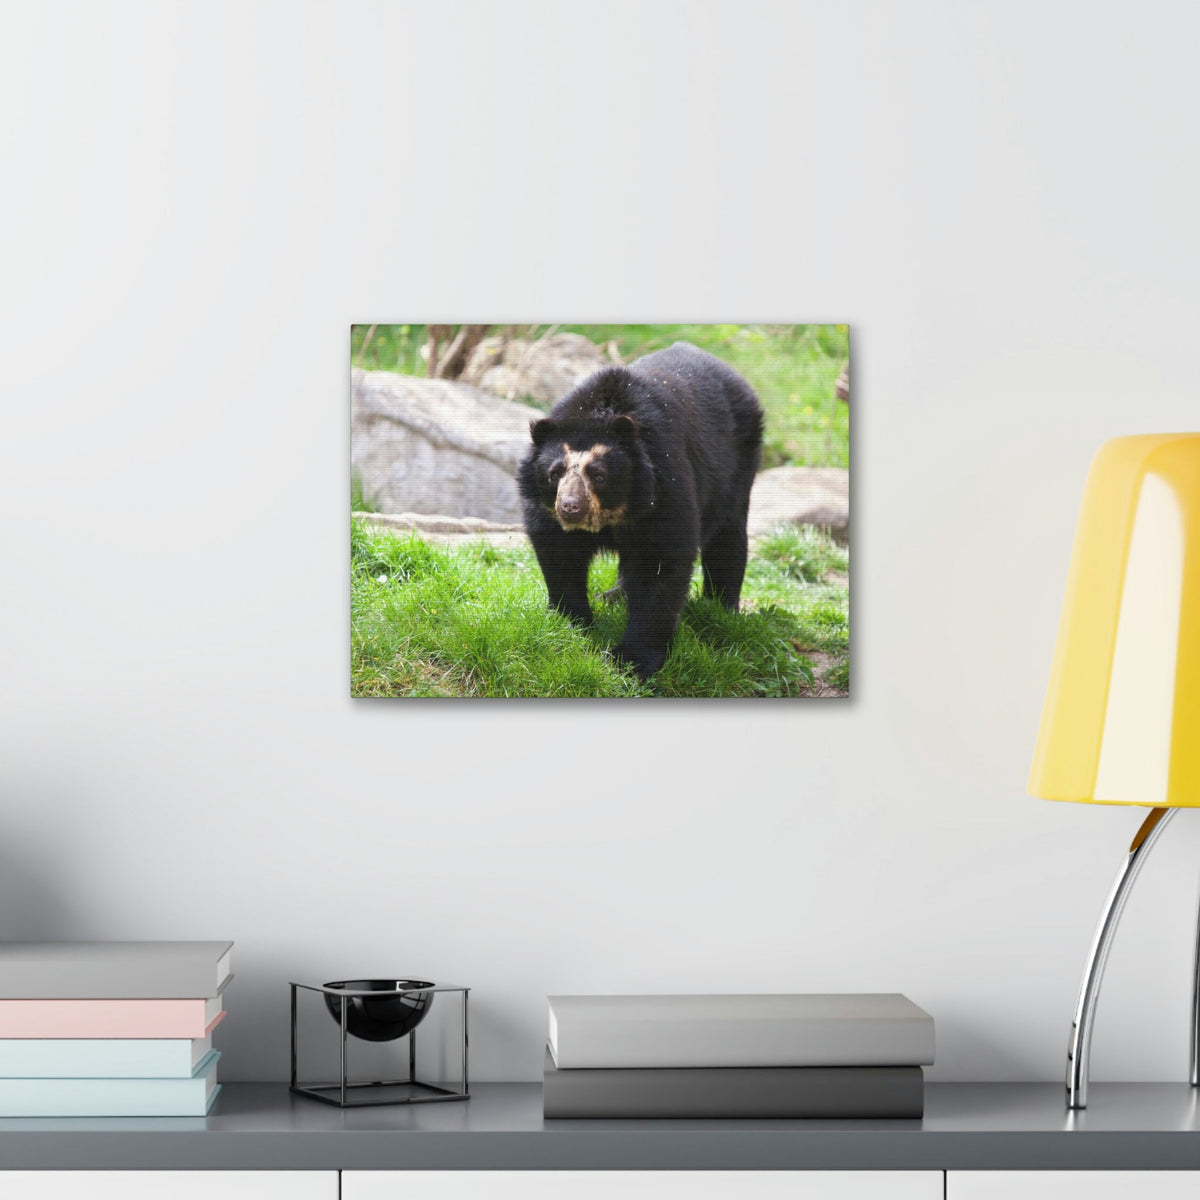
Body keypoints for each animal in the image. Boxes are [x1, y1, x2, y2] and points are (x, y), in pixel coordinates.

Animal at [516, 341, 764, 680]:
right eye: (555, 473)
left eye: (598, 475)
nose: (570, 507)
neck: (614, 512)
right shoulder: (547, 512)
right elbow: (559, 553)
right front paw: (570, 623)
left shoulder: (663, 487)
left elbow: (661, 561)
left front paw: (632, 661)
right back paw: (613, 596)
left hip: (737, 466)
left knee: (728, 537)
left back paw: (721, 608)